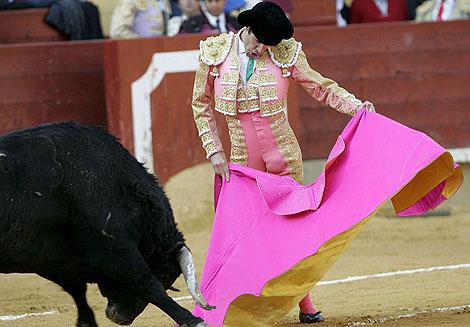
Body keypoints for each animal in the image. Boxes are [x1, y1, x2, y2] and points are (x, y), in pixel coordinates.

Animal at [0, 123, 213, 327]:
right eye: (163, 275)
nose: (120, 317)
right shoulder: (117, 249)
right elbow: (148, 284)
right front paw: (193, 320)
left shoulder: (57, 259)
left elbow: (77, 290)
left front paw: (86, 321)